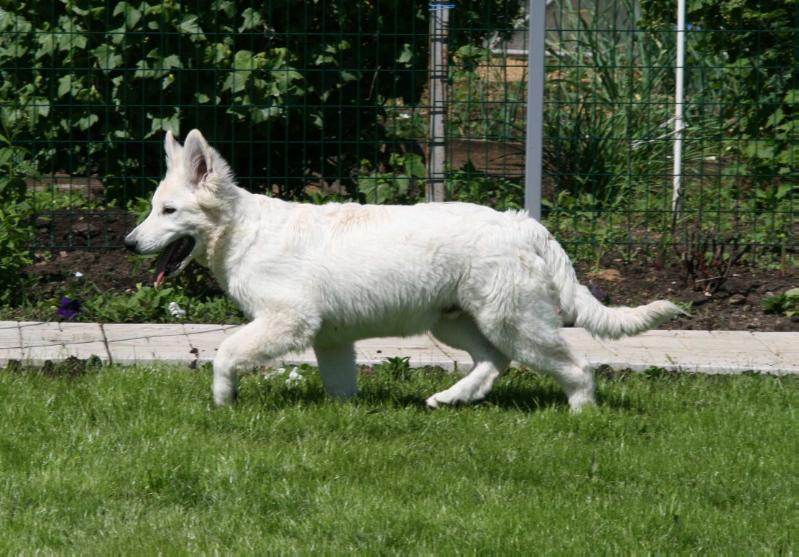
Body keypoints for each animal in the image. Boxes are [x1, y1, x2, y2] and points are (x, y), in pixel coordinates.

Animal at [125, 129, 680, 408]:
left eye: (168, 211)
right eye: (154, 208)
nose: (129, 243)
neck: (243, 231)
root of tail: (523, 224)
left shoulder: (289, 320)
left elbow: (224, 354)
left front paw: (223, 401)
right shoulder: (329, 337)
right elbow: (340, 386)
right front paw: (347, 417)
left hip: (513, 320)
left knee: (576, 368)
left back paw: (581, 417)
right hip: (456, 320)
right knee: (494, 361)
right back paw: (452, 399)